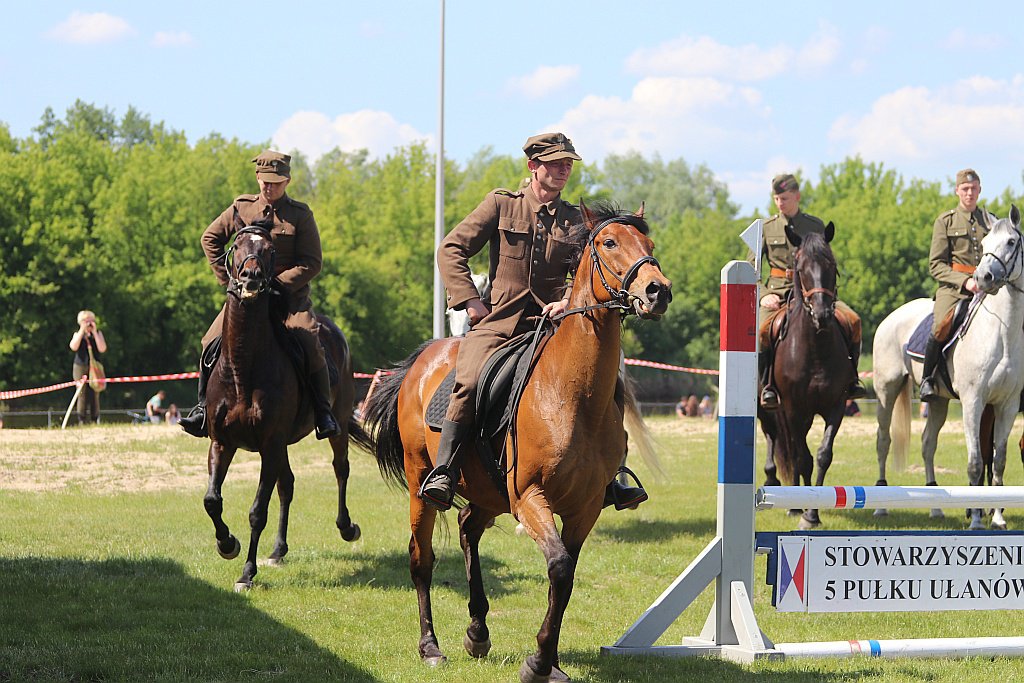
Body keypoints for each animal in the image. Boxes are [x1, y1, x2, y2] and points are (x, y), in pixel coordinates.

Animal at [201, 222, 374, 589]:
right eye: (237, 245)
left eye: (269, 250)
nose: (251, 277)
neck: (244, 368)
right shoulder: (222, 442)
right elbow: (212, 500)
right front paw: (227, 543)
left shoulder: (270, 444)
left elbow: (257, 511)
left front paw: (247, 573)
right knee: (288, 485)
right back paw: (278, 550)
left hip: (333, 427)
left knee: (340, 469)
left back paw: (346, 527)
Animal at [360, 201, 671, 683]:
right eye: (608, 242)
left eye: (649, 244)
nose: (658, 291)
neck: (571, 393)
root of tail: (424, 358)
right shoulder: (529, 498)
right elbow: (558, 567)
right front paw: (539, 662)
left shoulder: (584, 508)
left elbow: (565, 576)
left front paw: (550, 661)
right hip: (420, 484)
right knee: (421, 559)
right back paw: (431, 646)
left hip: (487, 492)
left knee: (468, 529)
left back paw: (477, 631)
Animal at [761, 223, 856, 528]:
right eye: (801, 267)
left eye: (831, 264)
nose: (823, 314)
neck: (816, 349)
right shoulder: (793, 409)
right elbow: (801, 457)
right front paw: (803, 513)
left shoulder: (836, 406)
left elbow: (823, 456)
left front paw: (812, 513)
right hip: (770, 411)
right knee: (779, 441)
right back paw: (786, 495)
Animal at [872, 205, 1024, 532]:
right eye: (985, 243)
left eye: (1010, 242)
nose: (983, 277)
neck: (1003, 333)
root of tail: (892, 316)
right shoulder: (973, 402)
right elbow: (976, 462)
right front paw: (976, 520)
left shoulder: (1007, 405)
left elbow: (999, 460)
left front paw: (998, 518)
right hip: (886, 391)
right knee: (883, 441)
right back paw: (879, 505)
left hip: (938, 400)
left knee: (928, 444)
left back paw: (936, 507)